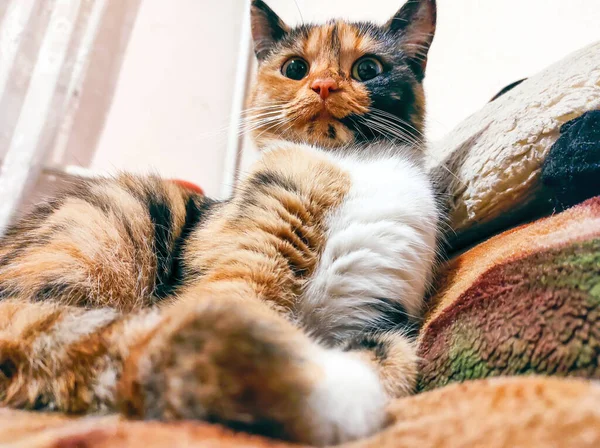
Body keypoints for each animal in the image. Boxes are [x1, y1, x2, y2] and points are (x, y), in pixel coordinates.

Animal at [0, 0, 438, 444]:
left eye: (368, 68)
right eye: (295, 68)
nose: (324, 86)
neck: (351, 162)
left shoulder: (378, 309)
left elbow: (393, 359)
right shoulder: (241, 266)